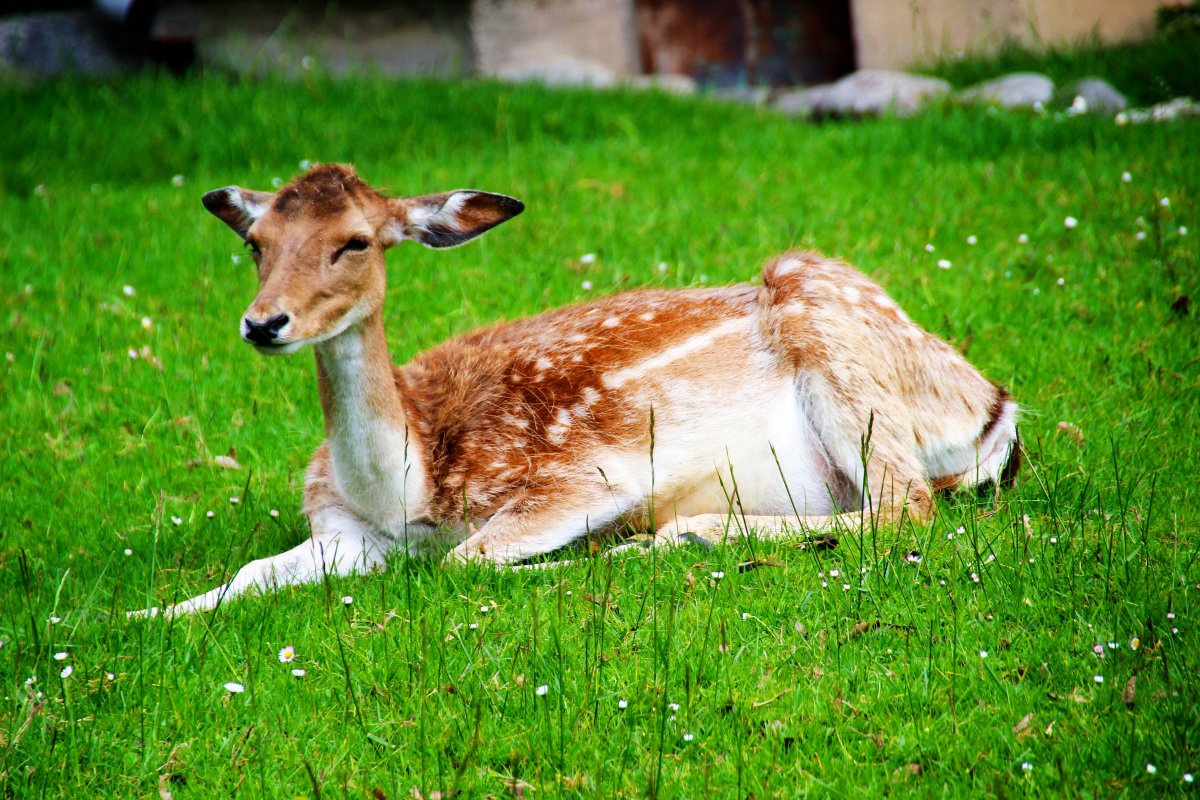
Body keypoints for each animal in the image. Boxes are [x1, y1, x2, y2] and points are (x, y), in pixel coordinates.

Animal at [131, 165, 1017, 618]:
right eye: (256, 241)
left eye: (354, 242)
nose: (263, 322)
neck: (406, 488)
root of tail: (995, 409)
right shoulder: (345, 534)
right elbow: (248, 575)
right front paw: (141, 618)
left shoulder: (579, 478)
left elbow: (471, 560)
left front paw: (587, 558)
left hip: (843, 365)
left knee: (905, 505)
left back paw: (676, 538)